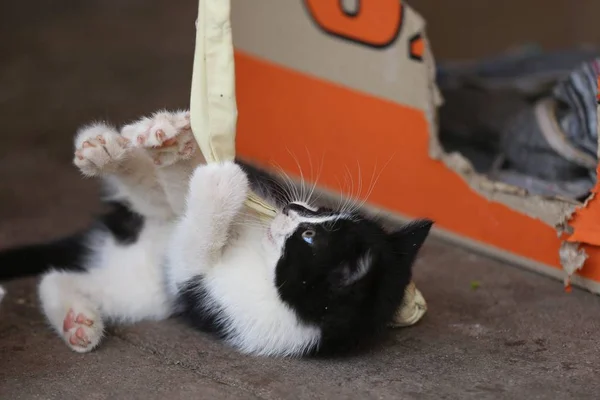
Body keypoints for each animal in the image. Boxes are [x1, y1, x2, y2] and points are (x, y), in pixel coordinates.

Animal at [0, 109, 432, 356]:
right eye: (323, 211)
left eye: (309, 238)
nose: (292, 208)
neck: (263, 264)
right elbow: (187, 200)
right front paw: (180, 149)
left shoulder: (207, 296)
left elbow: (192, 243)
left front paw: (218, 183)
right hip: (147, 232)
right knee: (160, 199)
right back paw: (114, 148)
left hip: (146, 293)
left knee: (61, 278)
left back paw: (77, 320)